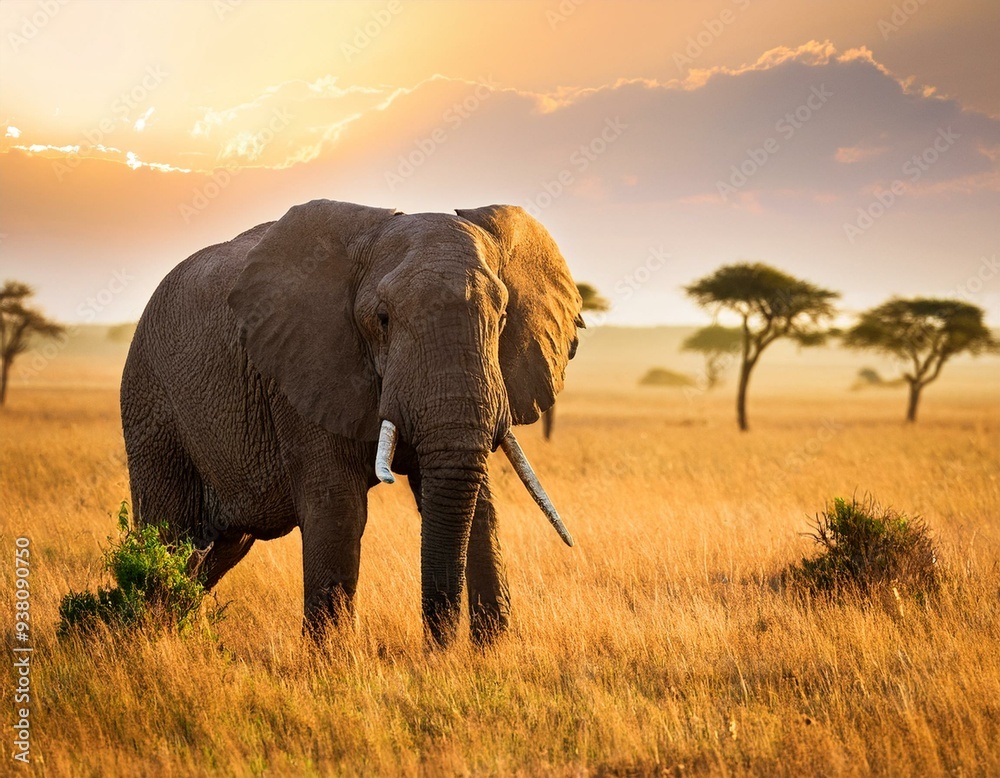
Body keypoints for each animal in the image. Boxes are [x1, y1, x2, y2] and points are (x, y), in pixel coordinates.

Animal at [120, 199, 583, 646]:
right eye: (383, 319)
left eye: (502, 318)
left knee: (221, 550)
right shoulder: (301, 372)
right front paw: (331, 660)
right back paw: (150, 635)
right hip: (150, 400)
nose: (438, 647)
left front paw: (490, 651)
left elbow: (479, 504)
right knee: (169, 533)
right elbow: (339, 509)